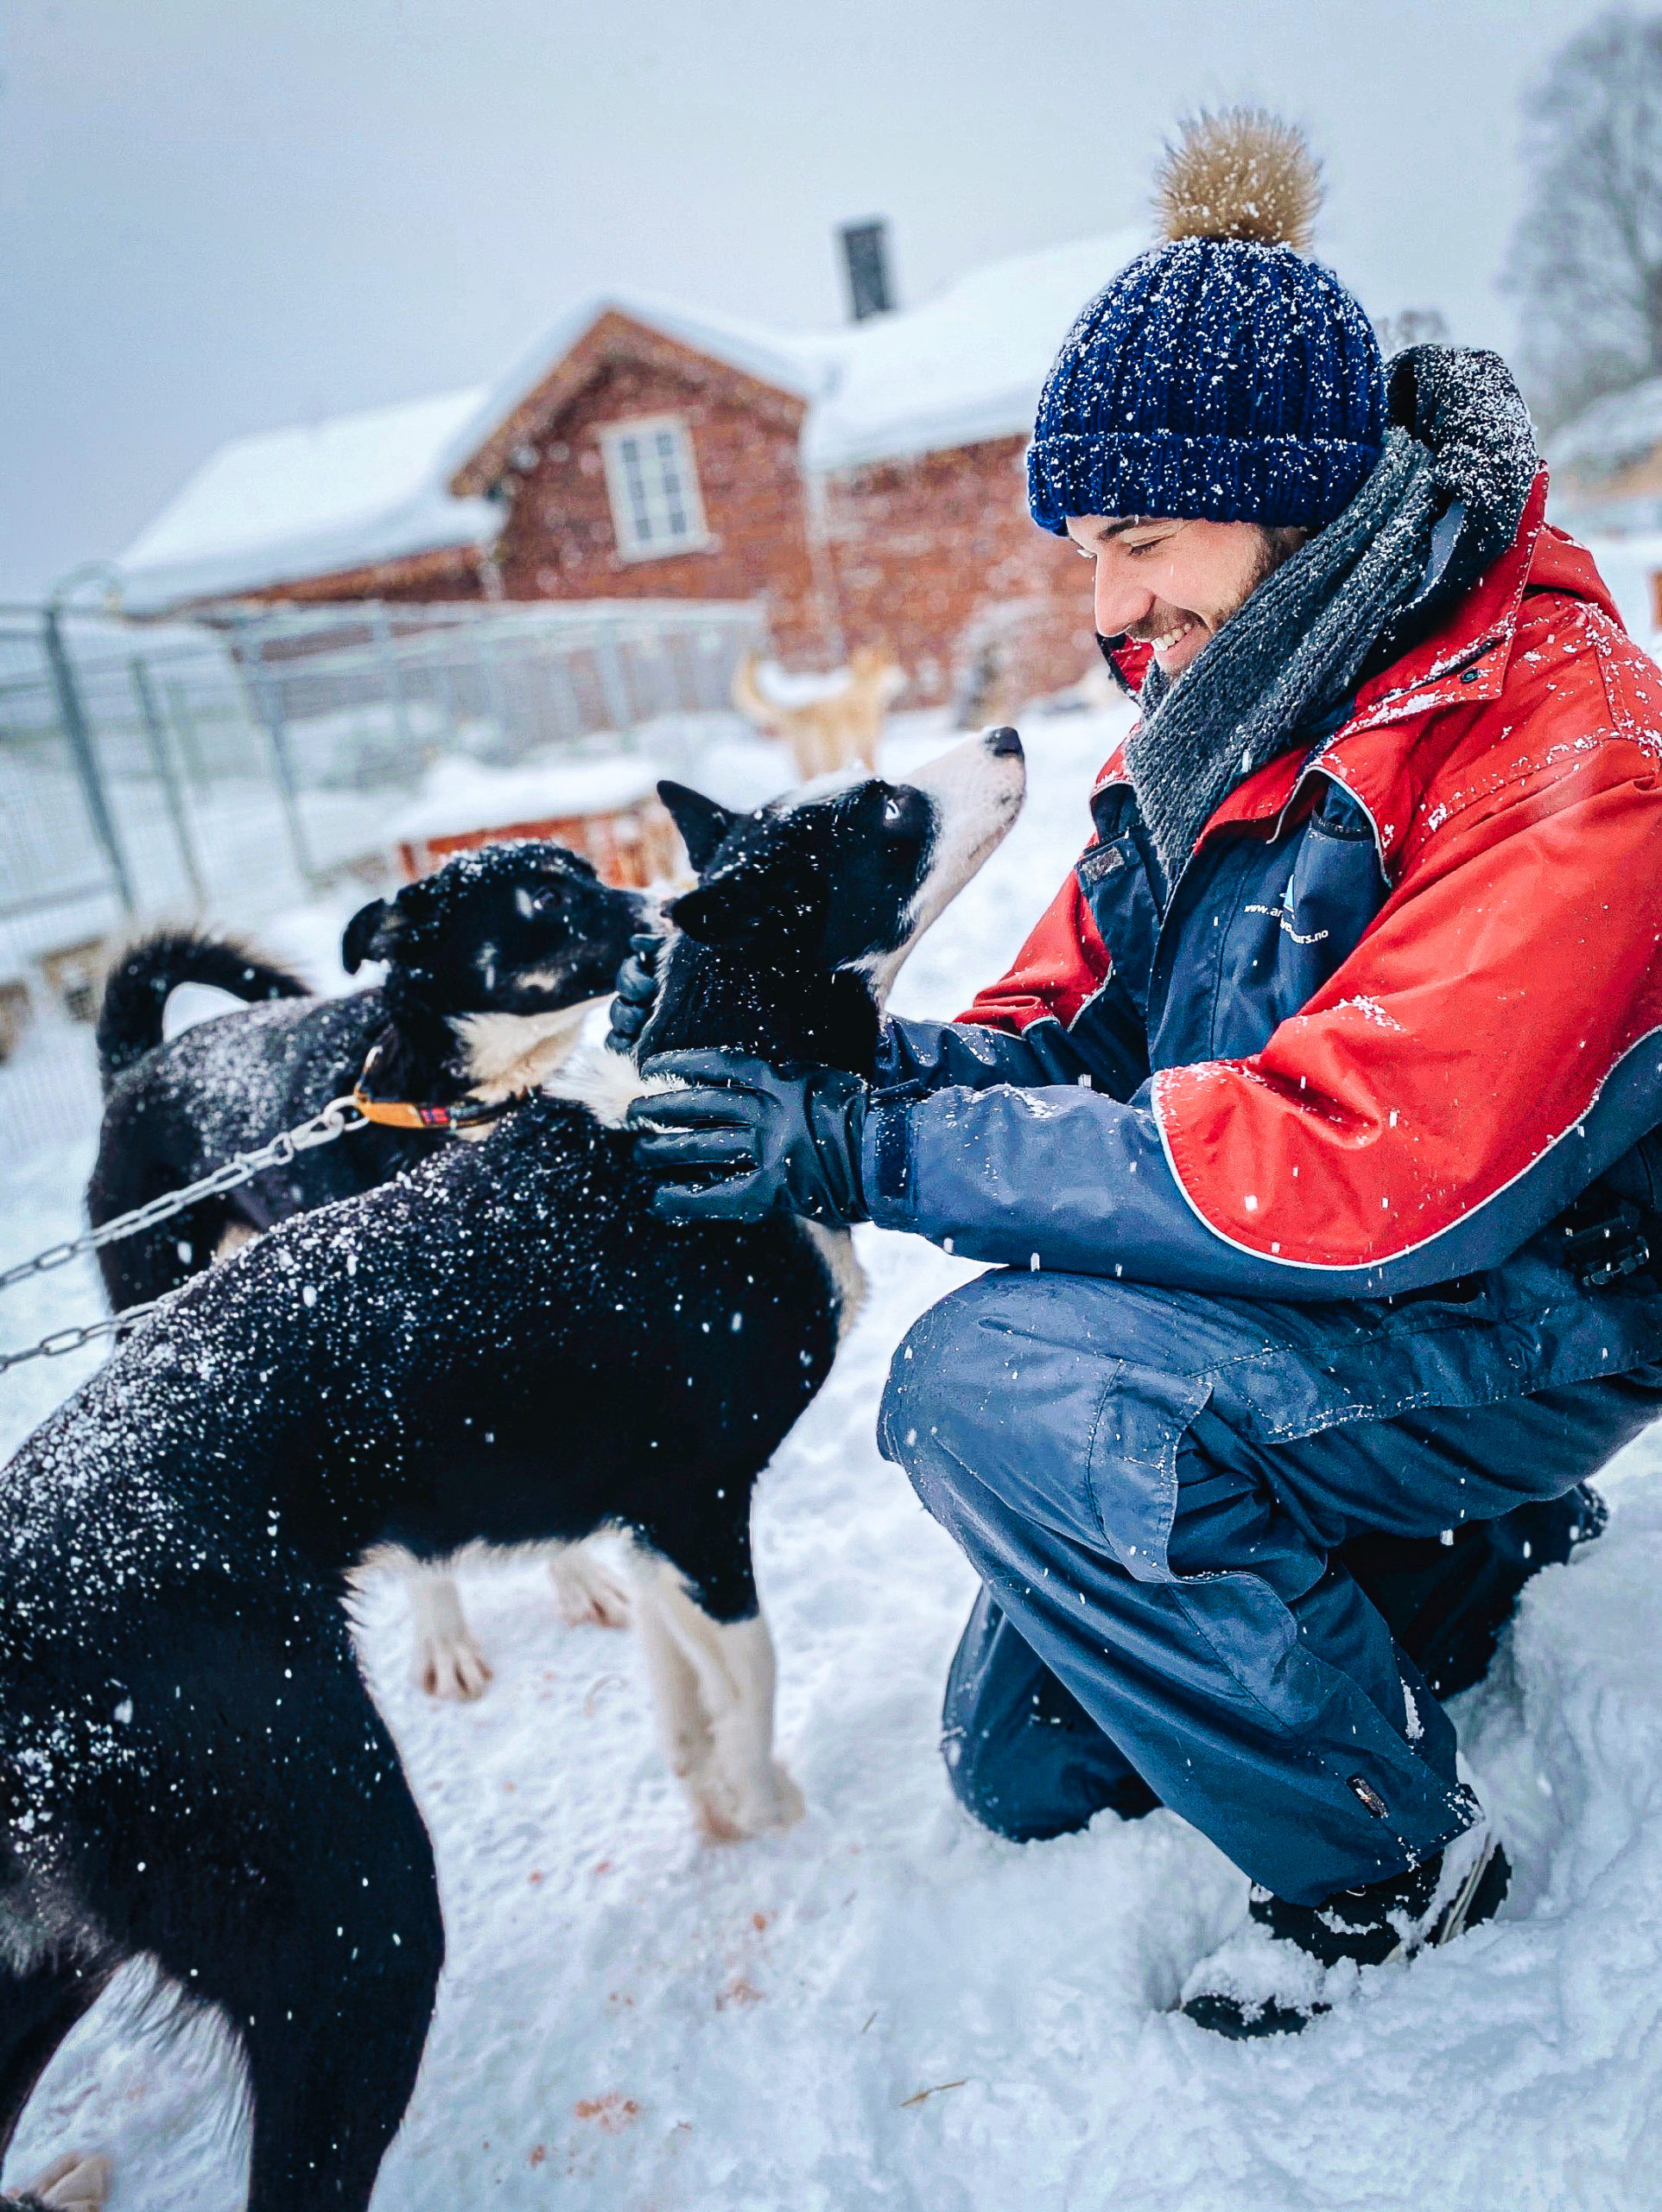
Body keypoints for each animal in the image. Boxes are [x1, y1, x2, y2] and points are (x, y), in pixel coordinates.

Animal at [89, 844, 650, 1689]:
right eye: (547, 894)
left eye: (589, 869)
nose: (666, 906)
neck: (456, 1105)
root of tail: (135, 1068)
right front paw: (446, 1643)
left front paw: (578, 1577)